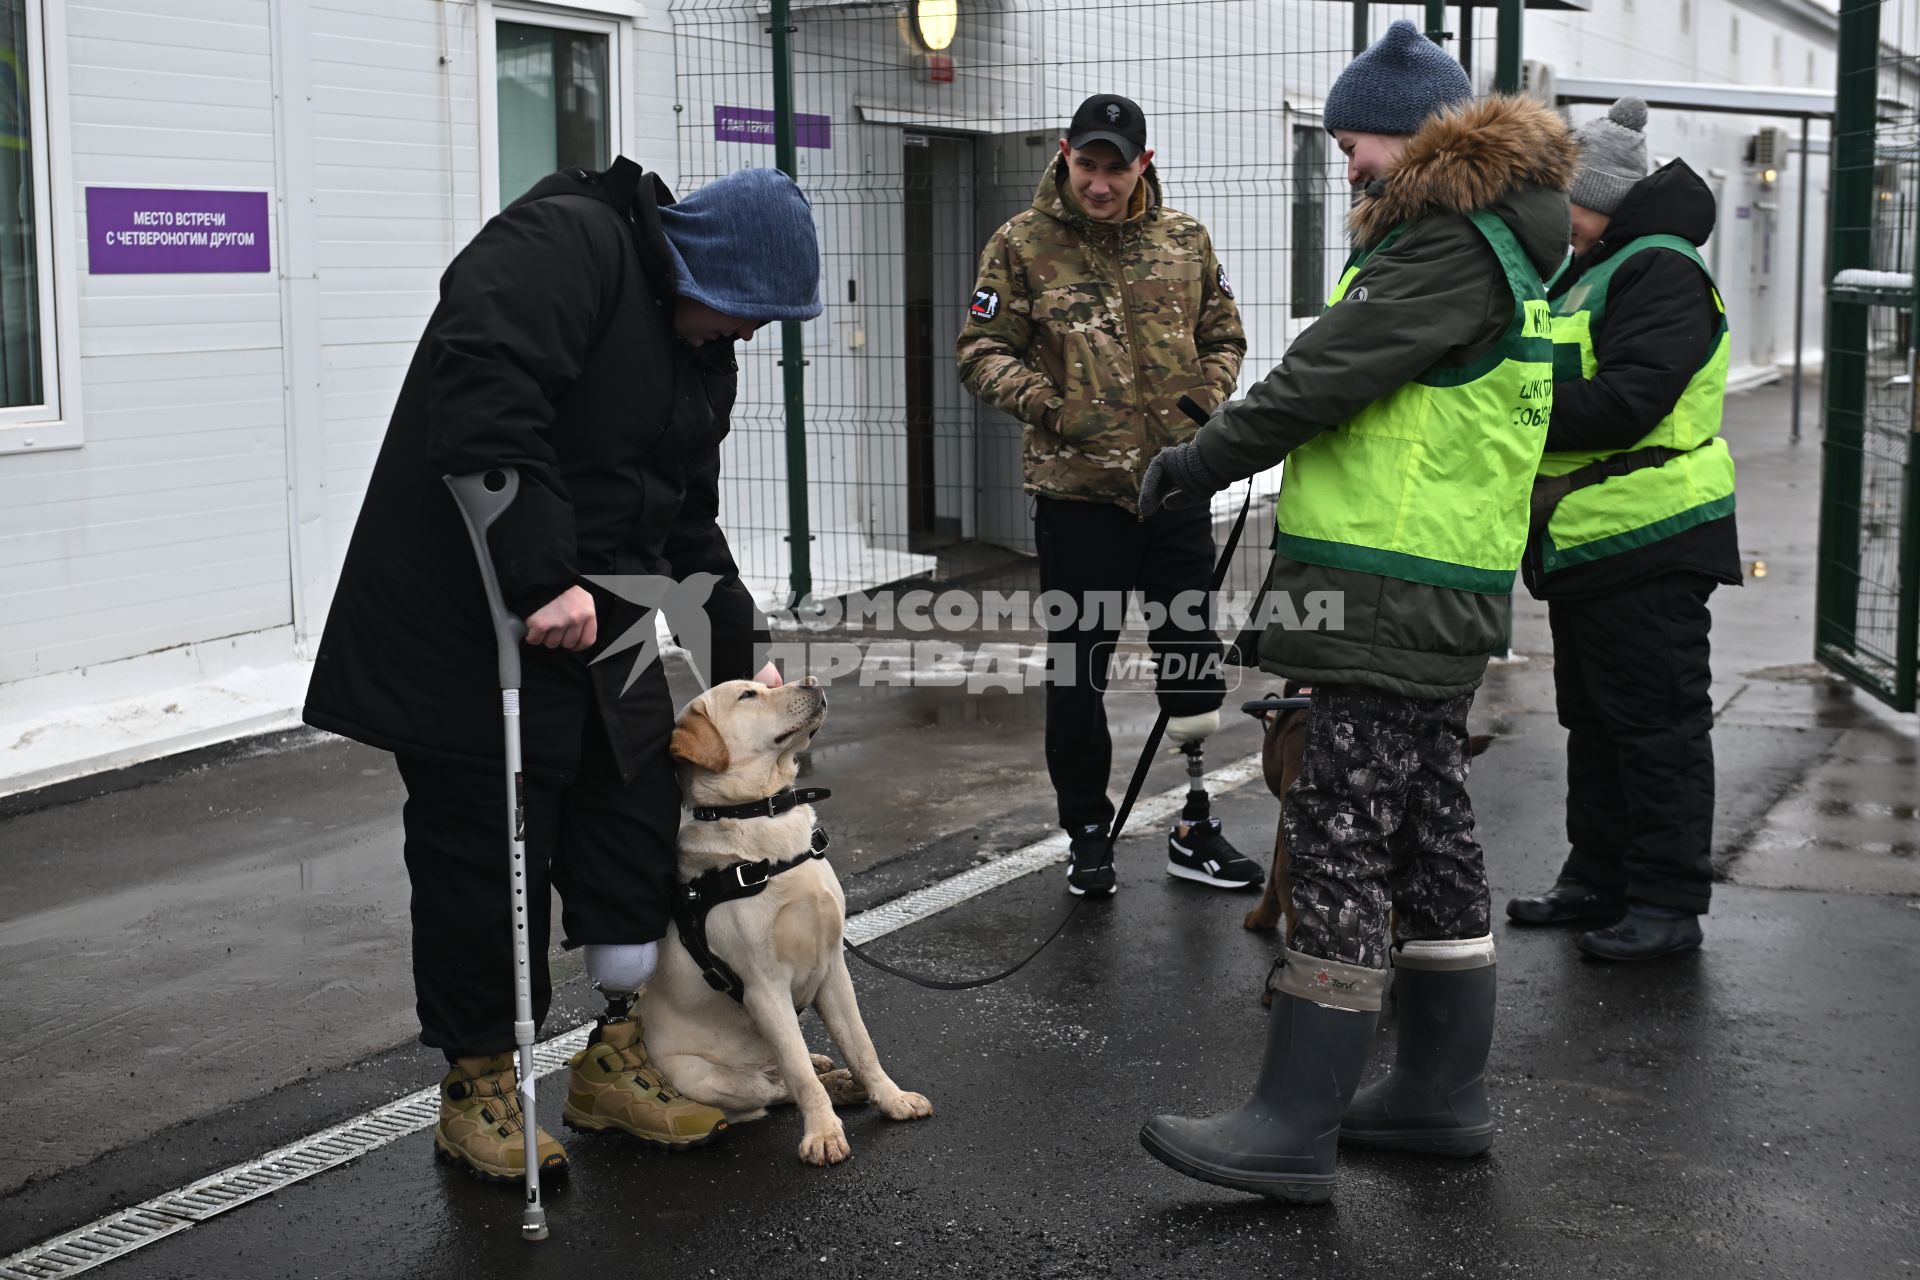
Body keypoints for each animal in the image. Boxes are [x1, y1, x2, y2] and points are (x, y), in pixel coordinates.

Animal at [641, 675, 933, 1166]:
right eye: (747, 696)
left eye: (763, 684)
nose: (813, 681)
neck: (766, 817)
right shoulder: (764, 989)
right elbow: (799, 1077)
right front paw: (823, 1134)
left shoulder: (833, 968)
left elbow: (862, 1047)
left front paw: (891, 1099)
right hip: (702, 1077)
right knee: (773, 1086)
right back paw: (833, 1088)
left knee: (786, 1065)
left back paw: (834, 1073)